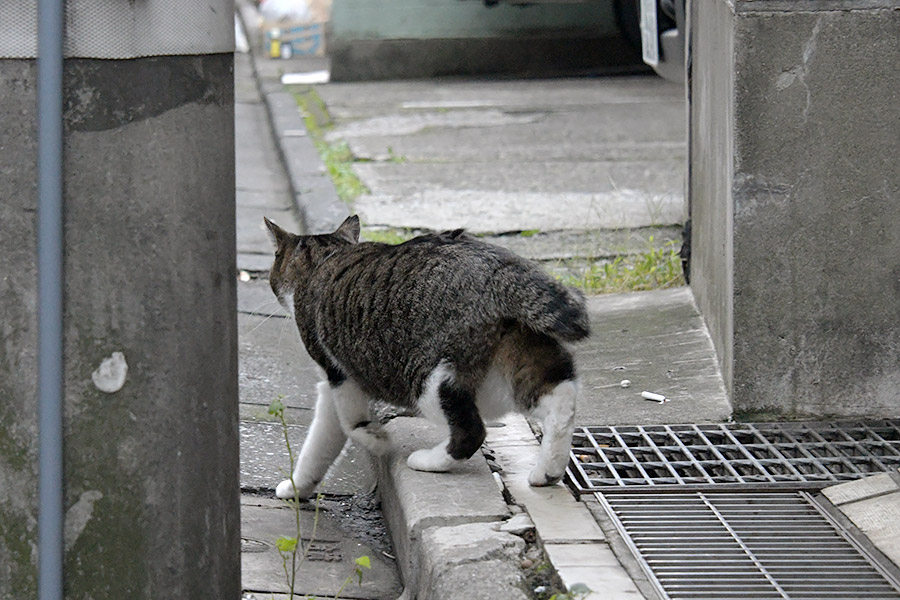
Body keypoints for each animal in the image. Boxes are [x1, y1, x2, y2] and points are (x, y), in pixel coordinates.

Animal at [266, 213, 592, 500]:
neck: (326, 257)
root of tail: (500, 271)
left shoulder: (338, 374)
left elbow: (349, 425)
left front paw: (378, 441)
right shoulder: (333, 382)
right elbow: (322, 442)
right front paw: (298, 488)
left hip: (430, 380)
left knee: (471, 431)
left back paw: (428, 461)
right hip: (519, 360)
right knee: (561, 400)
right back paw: (547, 472)